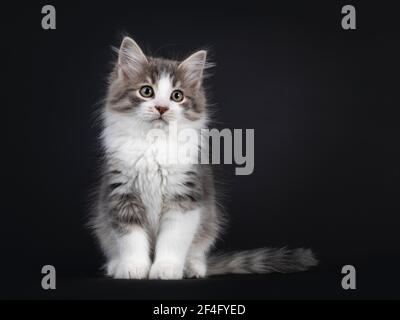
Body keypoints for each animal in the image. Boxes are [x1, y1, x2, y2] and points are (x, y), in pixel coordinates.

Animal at [90, 36, 316, 278]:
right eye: (146, 91)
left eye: (177, 96)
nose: (161, 108)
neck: (155, 143)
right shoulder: (122, 193)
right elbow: (130, 239)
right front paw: (134, 267)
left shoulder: (185, 195)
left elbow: (173, 239)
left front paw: (166, 268)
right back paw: (116, 265)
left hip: (210, 220)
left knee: (198, 251)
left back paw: (193, 267)